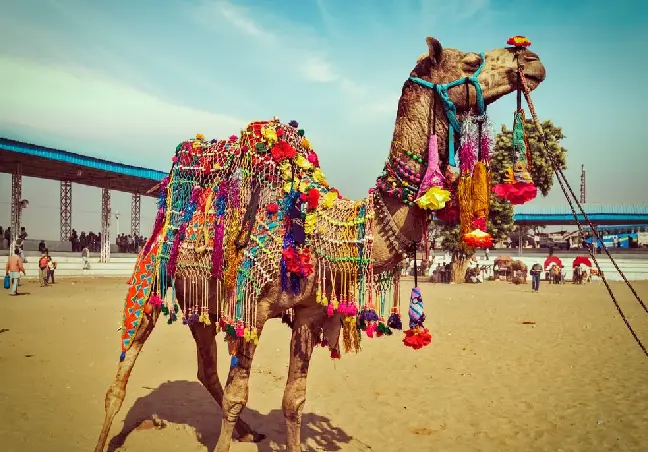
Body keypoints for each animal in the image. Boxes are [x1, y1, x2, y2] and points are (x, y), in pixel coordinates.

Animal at [94, 36, 545, 452]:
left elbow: (293, 399)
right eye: (469, 60)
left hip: (200, 300)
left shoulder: (309, 312)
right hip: (152, 276)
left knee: (205, 367)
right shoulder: (252, 308)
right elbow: (239, 396)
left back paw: (248, 431)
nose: (530, 58)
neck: (322, 228)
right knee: (123, 370)